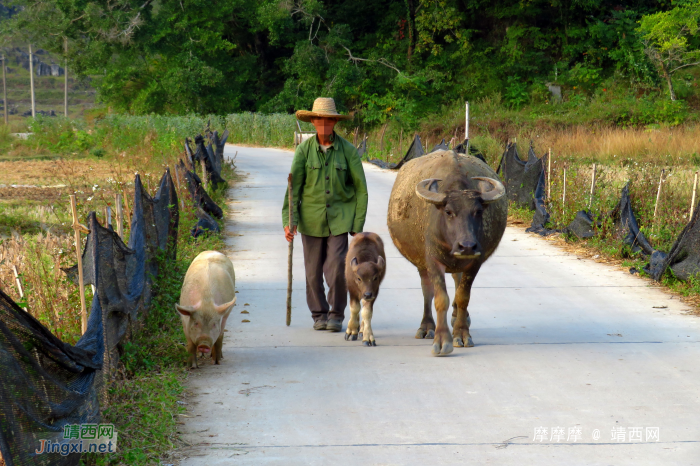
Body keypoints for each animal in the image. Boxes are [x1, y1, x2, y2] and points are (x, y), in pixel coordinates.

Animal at [386, 151, 506, 354]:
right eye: (449, 211)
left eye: (478, 211)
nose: (467, 246)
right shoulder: (432, 260)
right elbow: (440, 298)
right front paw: (442, 340)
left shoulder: (475, 262)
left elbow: (463, 296)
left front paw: (462, 334)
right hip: (422, 264)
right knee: (427, 290)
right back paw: (426, 327)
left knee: (457, 282)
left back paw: (459, 316)